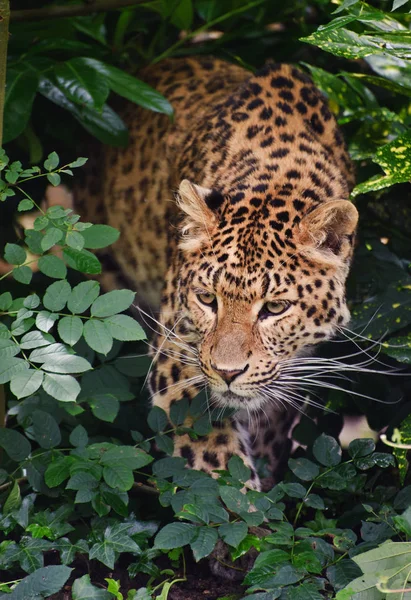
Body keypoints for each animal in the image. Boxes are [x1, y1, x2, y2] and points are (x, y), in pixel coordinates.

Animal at [75, 54, 358, 490]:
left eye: (275, 308)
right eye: (208, 299)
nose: (227, 373)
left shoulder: (291, 370)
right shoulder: (176, 352)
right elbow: (214, 459)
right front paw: (243, 502)